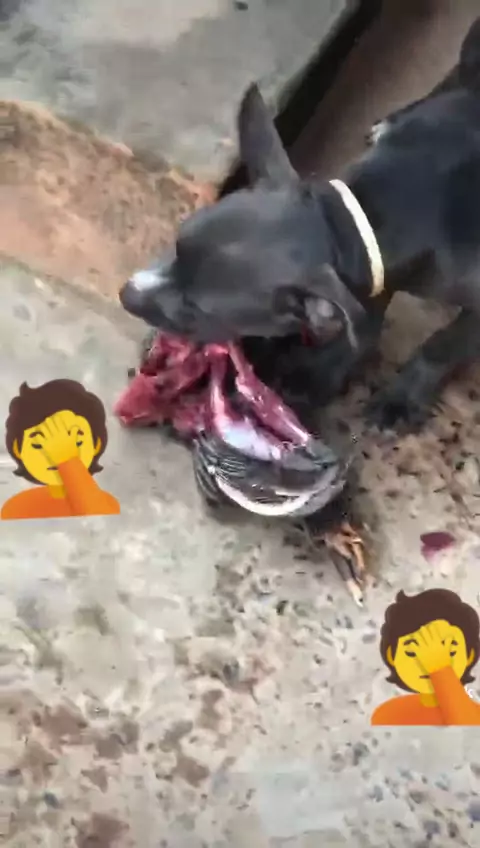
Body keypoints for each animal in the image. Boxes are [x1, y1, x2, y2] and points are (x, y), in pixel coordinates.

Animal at [120, 17, 480, 434]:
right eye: (176, 245)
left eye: (195, 309)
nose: (125, 294)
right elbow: (365, 313)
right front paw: (324, 370)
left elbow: (442, 346)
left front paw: (403, 398)